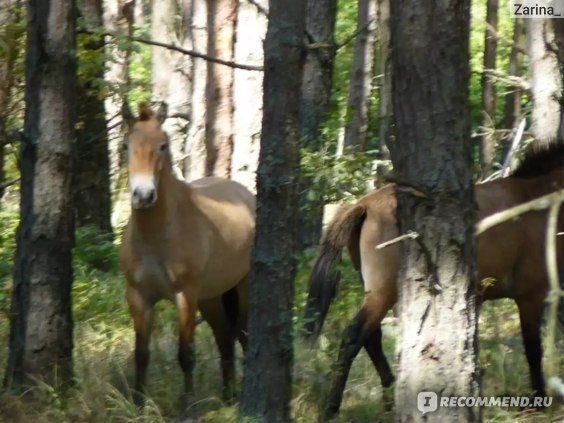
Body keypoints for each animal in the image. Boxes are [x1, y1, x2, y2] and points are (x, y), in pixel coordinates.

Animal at [119, 104, 256, 416]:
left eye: (163, 145)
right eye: (125, 146)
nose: (143, 195)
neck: (157, 236)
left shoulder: (185, 294)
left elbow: (186, 354)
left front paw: (189, 408)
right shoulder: (138, 295)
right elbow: (141, 354)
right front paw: (138, 405)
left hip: (241, 288)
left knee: (242, 333)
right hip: (211, 298)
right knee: (224, 337)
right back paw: (228, 395)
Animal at [306, 143, 564, 420]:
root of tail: (364, 205)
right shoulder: (530, 296)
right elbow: (533, 349)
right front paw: (538, 401)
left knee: (371, 337)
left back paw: (389, 398)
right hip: (383, 293)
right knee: (354, 336)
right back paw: (331, 409)